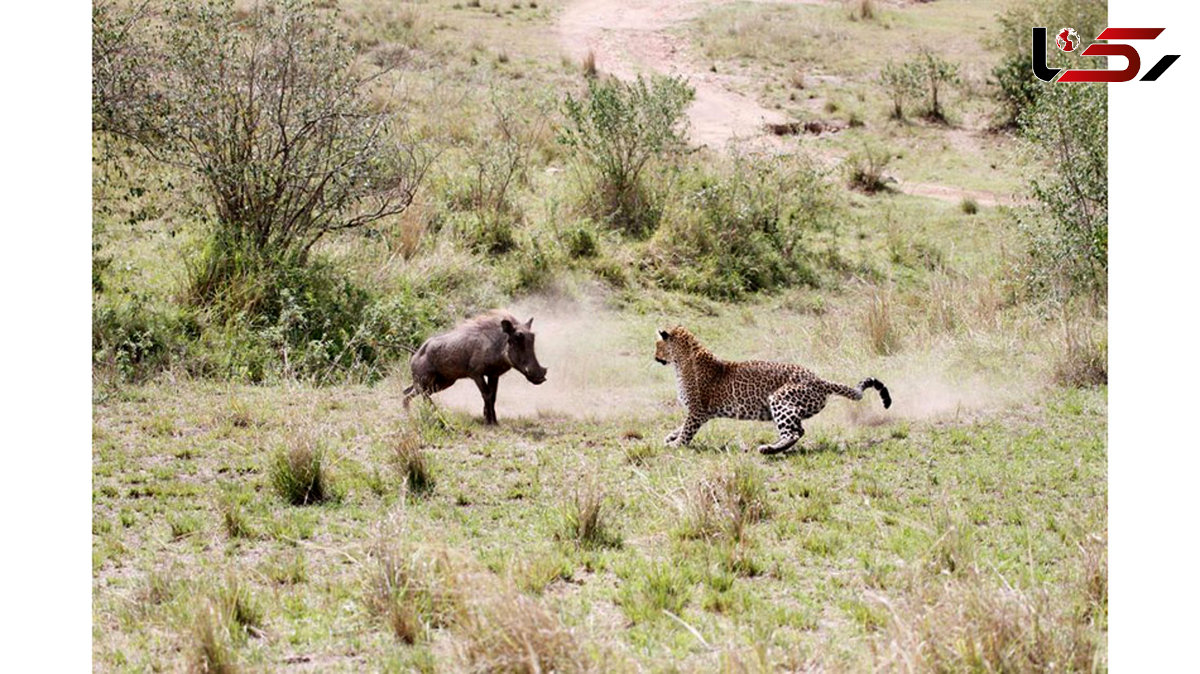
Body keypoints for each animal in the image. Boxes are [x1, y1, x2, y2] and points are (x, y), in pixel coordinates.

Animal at [657, 323, 892, 453]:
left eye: (657, 345)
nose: (654, 357)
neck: (681, 360)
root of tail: (819, 380)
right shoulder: (702, 413)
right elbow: (682, 426)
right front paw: (671, 437)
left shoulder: (697, 410)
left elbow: (687, 429)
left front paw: (675, 445)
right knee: (798, 430)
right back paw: (773, 447)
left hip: (780, 399)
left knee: (793, 433)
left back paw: (768, 449)